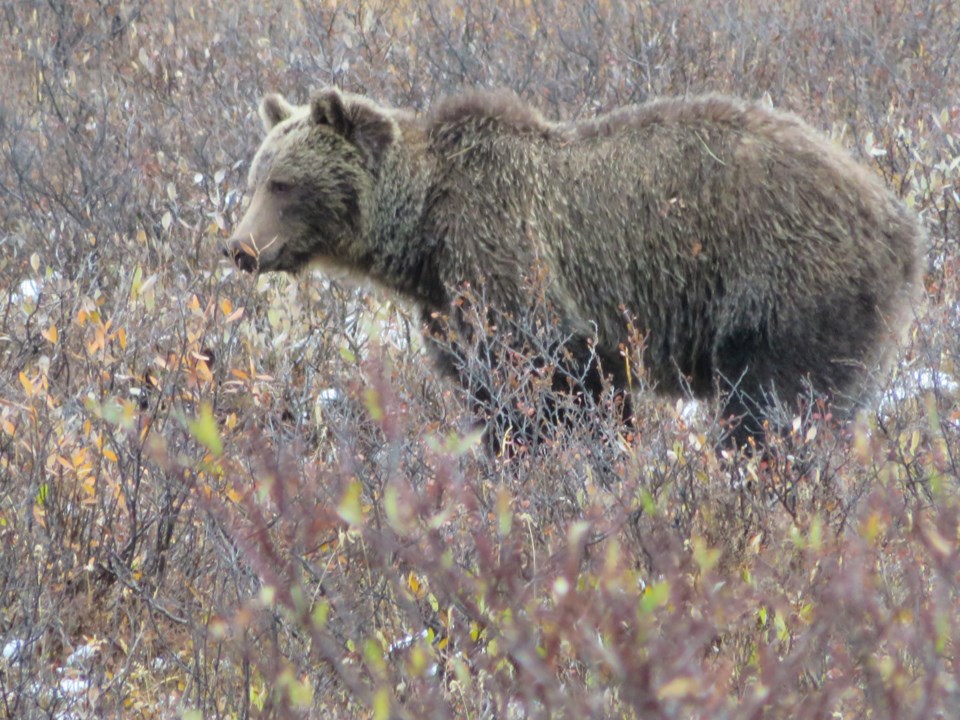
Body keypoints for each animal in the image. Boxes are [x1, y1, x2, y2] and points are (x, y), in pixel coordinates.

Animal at [225, 87, 924, 448]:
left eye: (285, 185)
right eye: (256, 178)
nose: (240, 248)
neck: (423, 235)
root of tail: (900, 220)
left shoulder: (515, 270)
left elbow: (558, 392)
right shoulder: (453, 309)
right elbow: (488, 394)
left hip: (786, 285)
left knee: (774, 407)